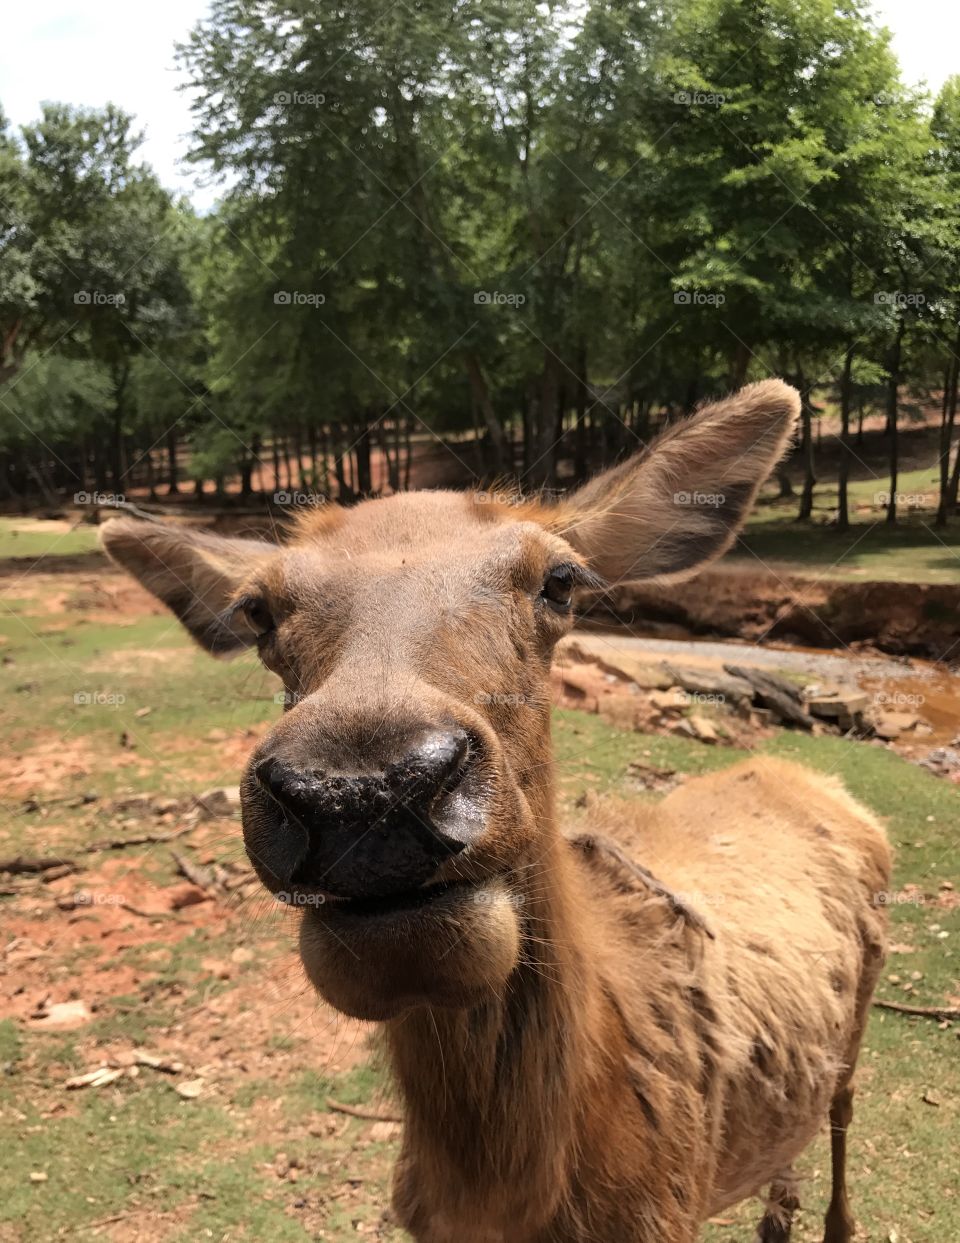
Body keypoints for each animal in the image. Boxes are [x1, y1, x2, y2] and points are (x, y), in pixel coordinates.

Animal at [102, 379, 890, 1243]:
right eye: (257, 610)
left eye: (561, 579)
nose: (361, 790)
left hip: (864, 1009)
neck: (512, 1203)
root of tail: (814, 778)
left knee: (844, 1112)